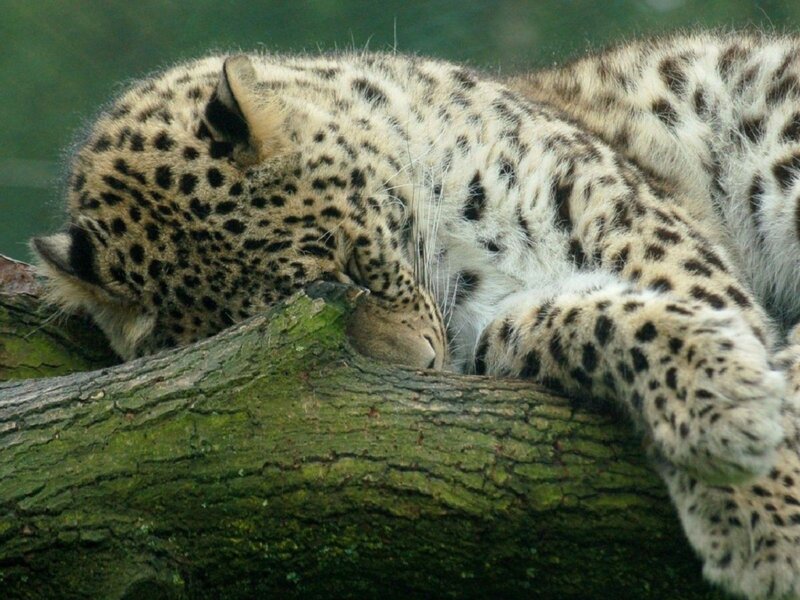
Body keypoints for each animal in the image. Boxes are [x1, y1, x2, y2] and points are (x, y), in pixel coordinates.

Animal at [30, 32, 800, 599]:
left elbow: (700, 306)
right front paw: (738, 419)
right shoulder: (497, 337)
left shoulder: (631, 224)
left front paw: (763, 506)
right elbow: (592, 322)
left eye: (349, 264)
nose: (425, 368)